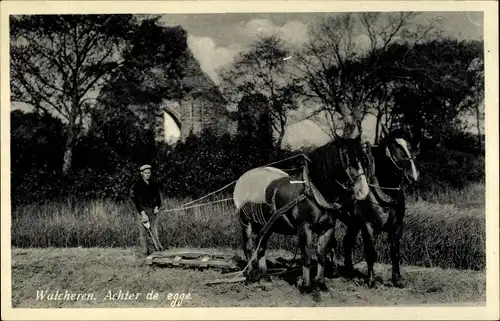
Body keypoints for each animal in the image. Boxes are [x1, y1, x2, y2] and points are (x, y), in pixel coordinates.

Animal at [233, 135, 372, 292]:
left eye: (363, 159)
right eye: (346, 158)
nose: (363, 191)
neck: (313, 191)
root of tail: (243, 177)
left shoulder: (328, 228)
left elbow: (321, 257)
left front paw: (321, 284)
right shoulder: (304, 227)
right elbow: (306, 257)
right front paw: (307, 287)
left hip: (267, 225)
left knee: (261, 247)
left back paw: (265, 277)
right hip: (245, 222)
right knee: (249, 247)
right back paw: (251, 275)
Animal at [340, 124, 422, 286]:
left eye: (410, 147)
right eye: (395, 147)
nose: (414, 175)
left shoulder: (397, 225)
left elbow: (395, 251)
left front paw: (397, 279)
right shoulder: (367, 225)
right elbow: (371, 252)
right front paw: (371, 280)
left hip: (353, 223)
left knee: (348, 241)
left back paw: (349, 270)